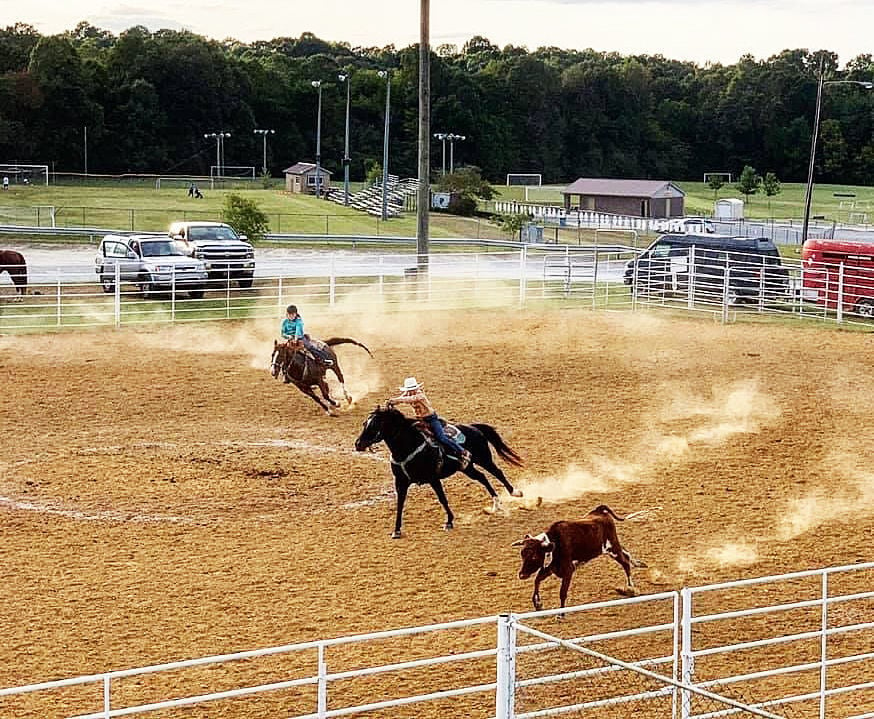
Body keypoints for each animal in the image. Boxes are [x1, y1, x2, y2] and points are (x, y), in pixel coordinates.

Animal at [352, 404, 520, 540]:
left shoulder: (433, 478)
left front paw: (449, 522)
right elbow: (400, 504)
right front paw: (397, 530)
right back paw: (496, 504)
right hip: (467, 468)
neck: (408, 447)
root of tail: (473, 427)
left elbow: (442, 499)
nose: (358, 444)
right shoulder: (401, 482)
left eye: (374, 425)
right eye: (364, 423)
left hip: (483, 459)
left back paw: (515, 493)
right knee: (482, 477)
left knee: (497, 472)